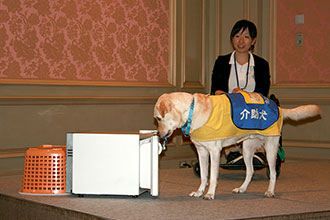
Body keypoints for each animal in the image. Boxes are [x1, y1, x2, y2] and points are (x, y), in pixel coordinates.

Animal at [155, 91, 322, 199]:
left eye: (158, 118)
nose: (159, 135)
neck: (192, 110)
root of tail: (278, 108)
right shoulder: (201, 151)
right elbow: (203, 176)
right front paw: (199, 191)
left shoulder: (214, 152)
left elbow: (213, 176)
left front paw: (210, 193)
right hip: (247, 150)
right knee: (250, 171)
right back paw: (242, 188)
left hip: (271, 149)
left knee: (273, 173)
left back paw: (270, 191)